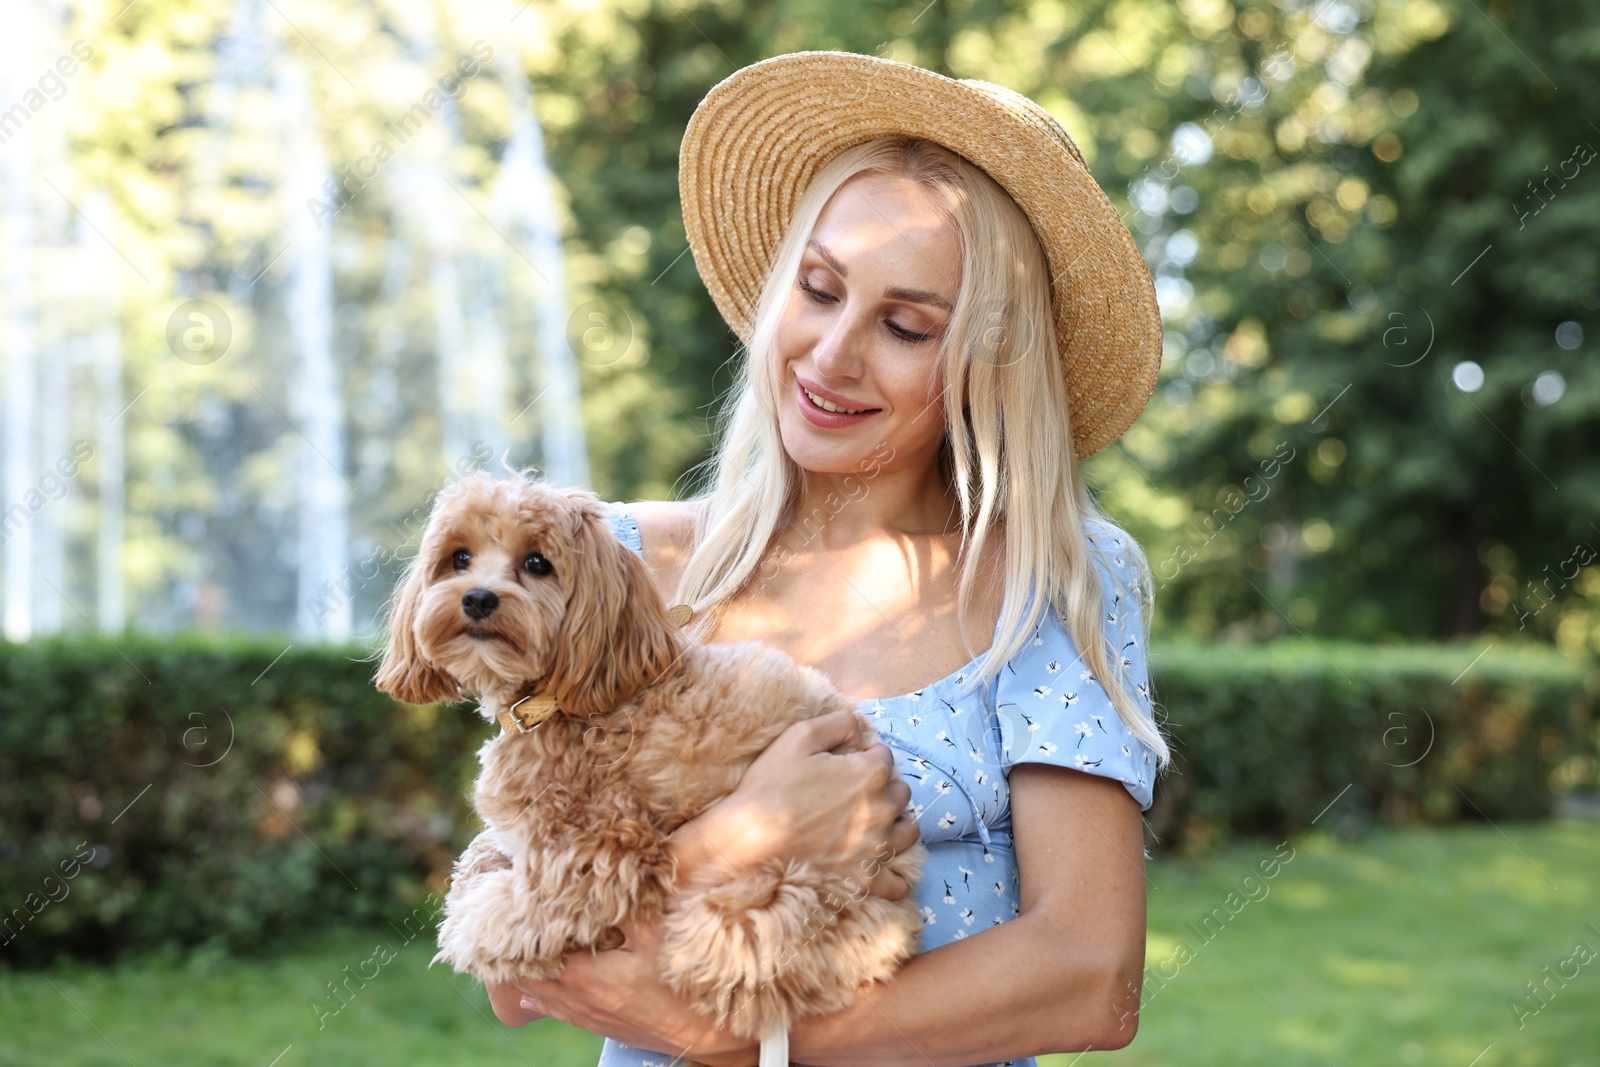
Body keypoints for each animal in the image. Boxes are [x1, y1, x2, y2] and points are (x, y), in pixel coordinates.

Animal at [374, 470, 928, 1062]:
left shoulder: (600, 855)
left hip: (758, 898)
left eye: (538, 563)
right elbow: (480, 854)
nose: (478, 598)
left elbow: (502, 912)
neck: (558, 702)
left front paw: (476, 930)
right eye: (459, 558)